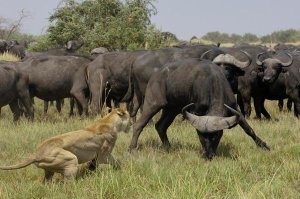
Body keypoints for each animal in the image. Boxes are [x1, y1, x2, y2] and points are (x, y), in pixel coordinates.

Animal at [129, 58, 270, 159]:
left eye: (216, 135)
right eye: (200, 135)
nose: (208, 155)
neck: (213, 81)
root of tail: (156, 75)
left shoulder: (234, 109)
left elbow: (248, 129)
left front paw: (264, 145)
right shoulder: (195, 110)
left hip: (172, 109)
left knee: (160, 126)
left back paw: (168, 147)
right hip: (153, 103)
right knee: (139, 125)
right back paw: (131, 149)